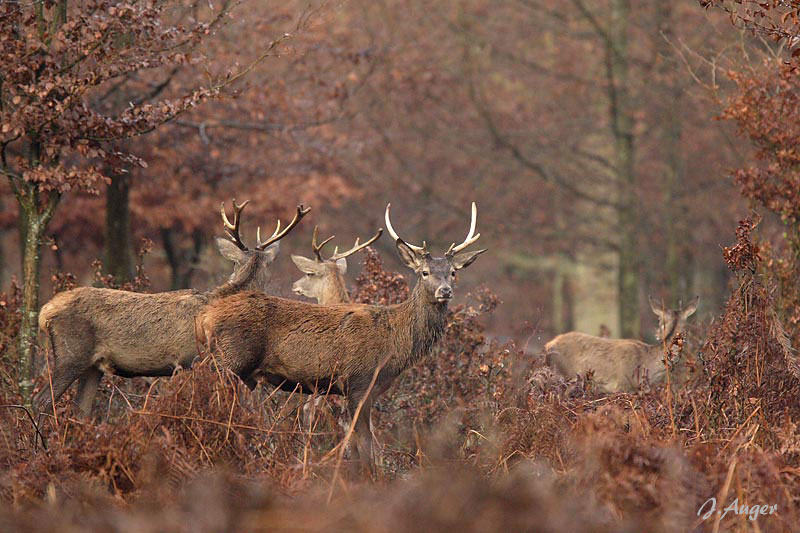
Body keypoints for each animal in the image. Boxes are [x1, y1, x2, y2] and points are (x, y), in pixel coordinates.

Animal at [34, 200, 309, 417]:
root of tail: (45, 312)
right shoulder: (194, 360)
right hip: (71, 353)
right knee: (41, 401)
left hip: (93, 367)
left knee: (80, 410)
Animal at [197, 202, 486, 473]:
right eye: (424, 272)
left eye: (453, 272)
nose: (445, 291)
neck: (395, 343)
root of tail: (206, 315)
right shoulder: (358, 382)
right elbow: (366, 448)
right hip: (229, 362)